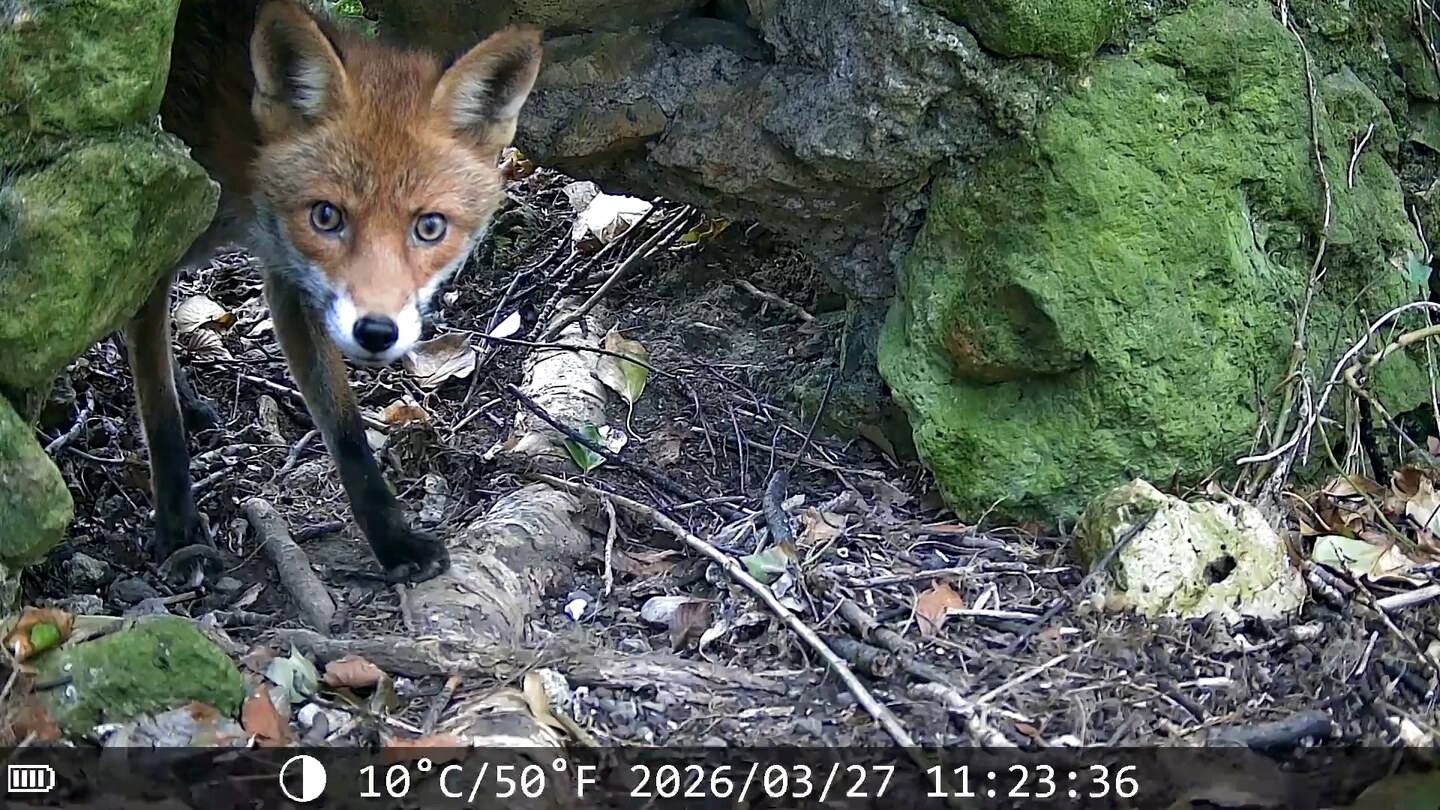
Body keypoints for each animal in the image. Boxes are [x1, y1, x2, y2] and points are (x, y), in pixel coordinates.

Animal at [126, 0, 542, 584]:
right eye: (327, 216)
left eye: (429, 227)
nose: (376, 331)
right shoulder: (149, 242)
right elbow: (158, 410)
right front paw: (178, 523)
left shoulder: (293, 281)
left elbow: (345, 431)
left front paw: (392, 538)